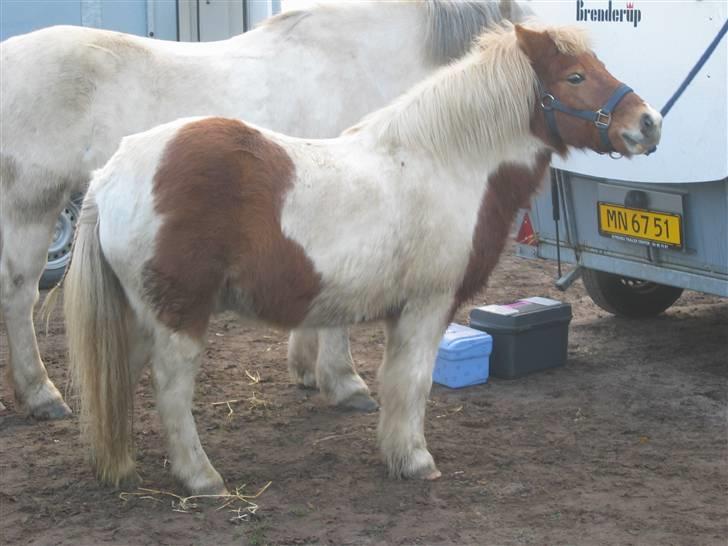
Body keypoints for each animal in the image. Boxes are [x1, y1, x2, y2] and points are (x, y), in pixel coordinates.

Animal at [0, 0, 529, 420]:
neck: (367, 59)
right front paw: (345, 383)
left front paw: (308, 370)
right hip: (32, 208)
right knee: (18, 295)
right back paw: (42, 395)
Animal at [63, 22, 661, 494]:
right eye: (575, 77)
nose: (649, 122)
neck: (444, 162)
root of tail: (111, 173)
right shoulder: (427, 307)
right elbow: (412, 383)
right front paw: (413, 460)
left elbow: (394, 379)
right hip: (177, 317)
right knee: (170, 389)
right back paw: (200, 478)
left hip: (137, 316)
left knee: (118, 382)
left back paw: (119, 465)